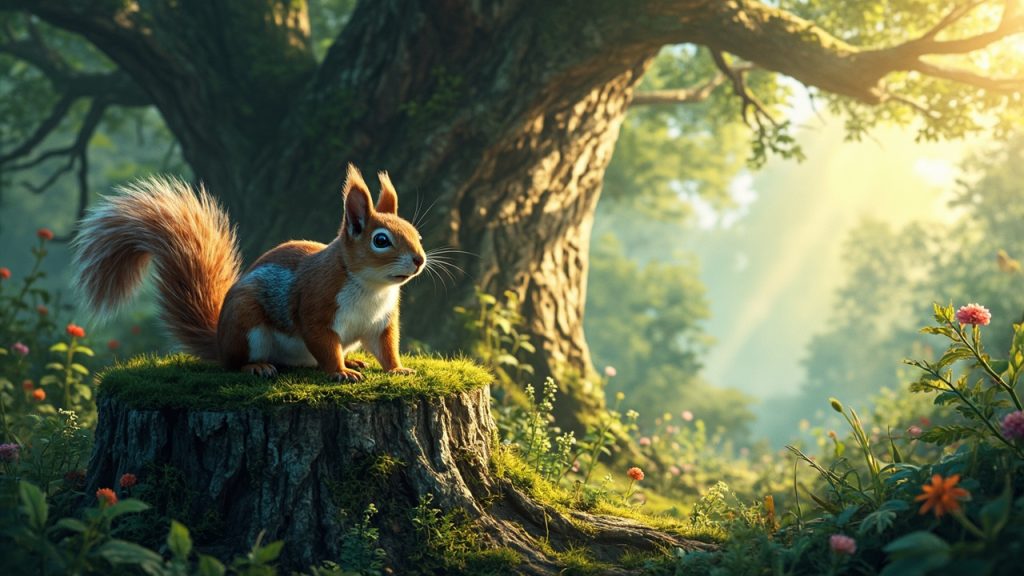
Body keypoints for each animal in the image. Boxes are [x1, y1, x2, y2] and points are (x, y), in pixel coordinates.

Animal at [73, 164, 426, 382]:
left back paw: (350, 359)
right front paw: (339, 372)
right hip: (247, 326)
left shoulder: (382, 322)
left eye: (417, 234)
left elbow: (387, 348)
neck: (371, 288)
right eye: (381, 240)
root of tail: (219, 341)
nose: (419, 260)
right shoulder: (317, 306)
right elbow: (323, 342)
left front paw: (398, 370)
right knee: (234, 363)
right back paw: (258, 367)